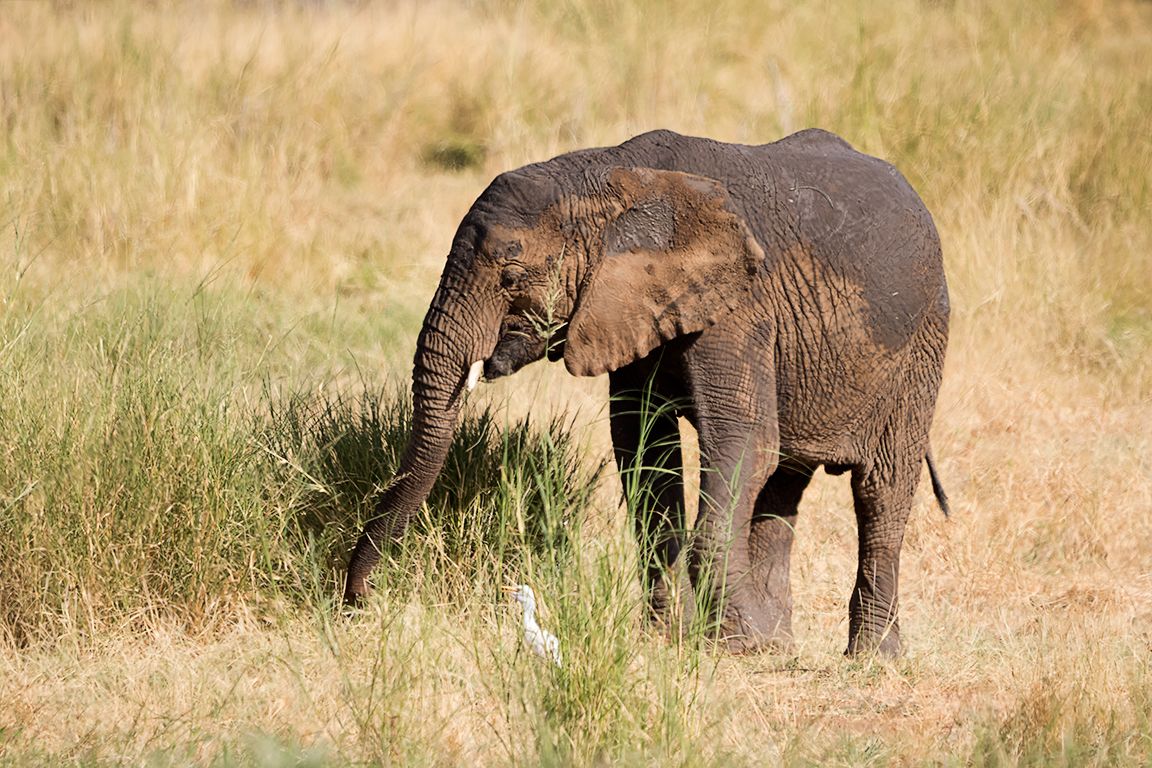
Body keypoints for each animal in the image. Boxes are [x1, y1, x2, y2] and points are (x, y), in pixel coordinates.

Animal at [344, 128, 950, 657]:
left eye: (510, 277)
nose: (358, 605)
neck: (610, 178)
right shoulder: (626, 306)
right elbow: (644, 454)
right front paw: (670, 639)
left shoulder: (738, 306)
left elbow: (743, 444)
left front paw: (735, 647)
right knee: (785, 484)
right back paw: (781, 644)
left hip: (924, 341)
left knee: (881, 489)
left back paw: (871, 657)